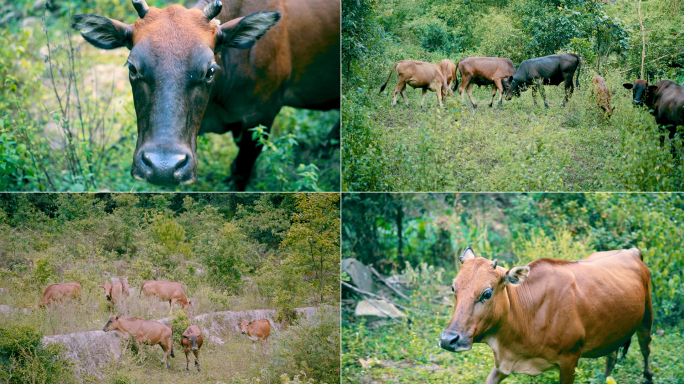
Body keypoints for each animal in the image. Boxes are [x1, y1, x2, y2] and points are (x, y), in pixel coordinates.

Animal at [440, 246, 656, 384]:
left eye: (487, 293)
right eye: (453, 287)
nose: (448, 339)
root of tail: (631, 251)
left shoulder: (570, 360)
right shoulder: (504, 363)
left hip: (647, 318)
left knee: (646, 349)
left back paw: (648, 376)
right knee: (611, 357)